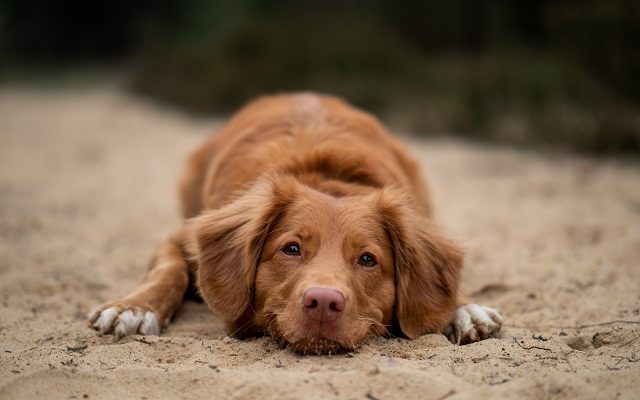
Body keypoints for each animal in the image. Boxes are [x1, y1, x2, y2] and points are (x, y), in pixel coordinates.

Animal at [87, 93, 502, 354]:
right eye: (291, 249)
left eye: (368, 260)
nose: (323, 303)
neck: (326, 178)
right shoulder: (181, 237)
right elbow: (168, 271)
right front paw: (134, 307)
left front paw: (463, 307)